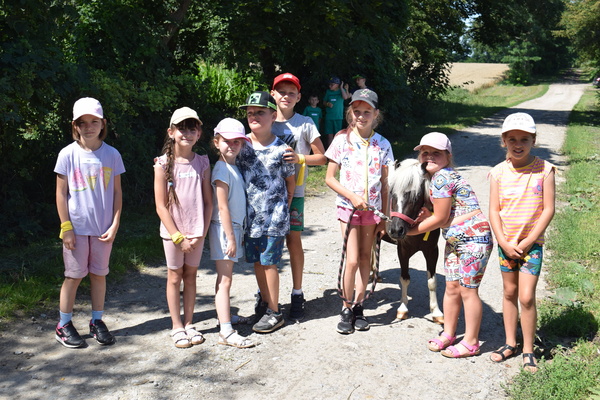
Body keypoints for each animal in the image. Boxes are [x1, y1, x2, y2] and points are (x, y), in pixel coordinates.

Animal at [383, 158, 444, 324]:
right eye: (392, 194)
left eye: (416, 197)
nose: (396, 230)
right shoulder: (402, 251)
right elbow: (404, 278)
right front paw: (403, 309)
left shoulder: (432, 251)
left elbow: (432, 281)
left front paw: (436, 312)